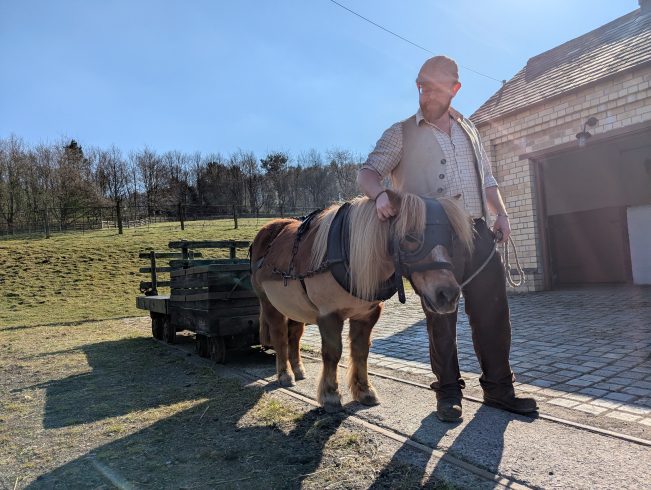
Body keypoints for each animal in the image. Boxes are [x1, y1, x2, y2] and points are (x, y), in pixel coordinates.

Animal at [250, 190, 474, 413]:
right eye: (410, 236)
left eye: (450, 238)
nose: (448, 294)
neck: (348, 253)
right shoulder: (329, 315)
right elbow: (332, 353)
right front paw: (330, 395)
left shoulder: (367, 315)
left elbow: (361, 351)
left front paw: (364, 391)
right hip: (270, 303)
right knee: (279, 336)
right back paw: (285, 374)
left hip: (295, 306)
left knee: (294, 335)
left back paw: (298, 369)